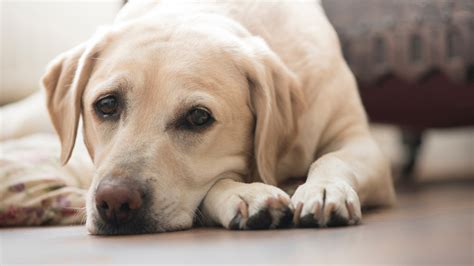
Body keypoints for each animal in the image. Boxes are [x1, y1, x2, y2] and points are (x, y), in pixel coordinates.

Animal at [3, 0, 396, 234]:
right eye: (107, 104)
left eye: (197, 117)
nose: (115, 202)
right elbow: (215, 184)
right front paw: (245, 195)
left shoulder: (361, 142)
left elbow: (332, 158)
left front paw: (323, 189)